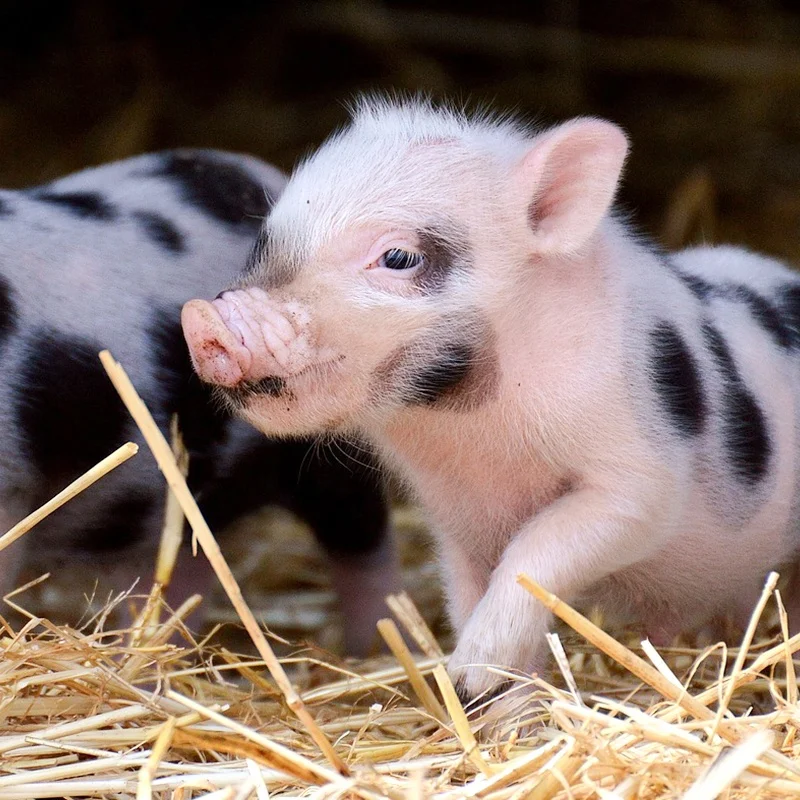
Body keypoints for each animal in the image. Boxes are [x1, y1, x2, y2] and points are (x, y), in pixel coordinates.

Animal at [182, 96, 800, 716]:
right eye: (265, 243)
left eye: (399, 256)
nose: (206, 320)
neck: (473, 438)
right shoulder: (453, 518)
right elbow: (467, 594)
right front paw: (493, 705)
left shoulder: (639, 476)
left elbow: (539, 550)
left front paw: (471, 673)